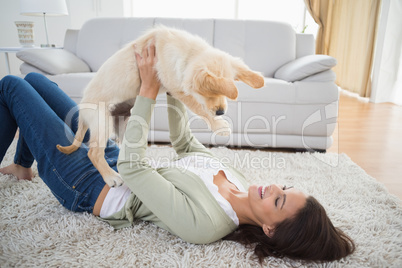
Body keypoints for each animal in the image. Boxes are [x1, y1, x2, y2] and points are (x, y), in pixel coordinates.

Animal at [55, 26, 264, 187]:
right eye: (208, 94)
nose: (221, 111)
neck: (188, 53)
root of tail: (81, 107)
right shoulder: (178, 88)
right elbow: (198, 107)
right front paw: (219, 125)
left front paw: (257, 79)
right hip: (101, 120)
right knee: (94, 153)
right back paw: (111, 177)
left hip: (124, 123)